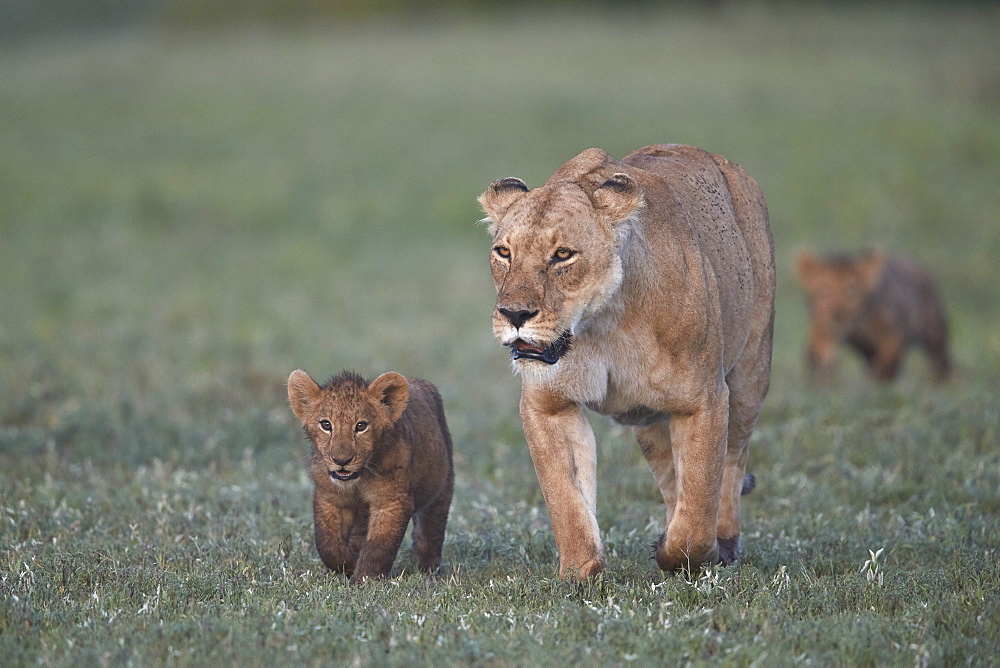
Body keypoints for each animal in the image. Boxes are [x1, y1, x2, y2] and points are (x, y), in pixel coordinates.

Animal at [480, 146, 776, 580]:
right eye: (504, 252)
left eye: (562, 255)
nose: (515, 314)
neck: (601, 323)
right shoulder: (549, 406)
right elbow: (566, 498)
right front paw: (579, 572)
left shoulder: (703, 401)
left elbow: (698, 506)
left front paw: (682, 554)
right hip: (650, 423)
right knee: (671, 477)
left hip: (749, 379)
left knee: (731, 467)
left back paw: (724, 542)